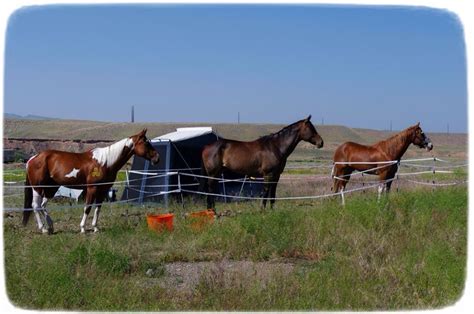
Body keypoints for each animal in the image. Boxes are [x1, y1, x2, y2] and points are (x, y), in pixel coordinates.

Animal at [22, 127, 159, 233]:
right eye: (146, 143)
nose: (157, 158)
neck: (105, 162)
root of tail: (33, 158)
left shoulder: (103, 190)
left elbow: (98, 208)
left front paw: (95, 228)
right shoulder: (92, 188)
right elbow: (87, 208)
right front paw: (83, 228)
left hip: (51, 188)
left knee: (43, 205)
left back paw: (50, 226)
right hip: (38, 188)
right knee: (36, 206)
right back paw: (43, 229)